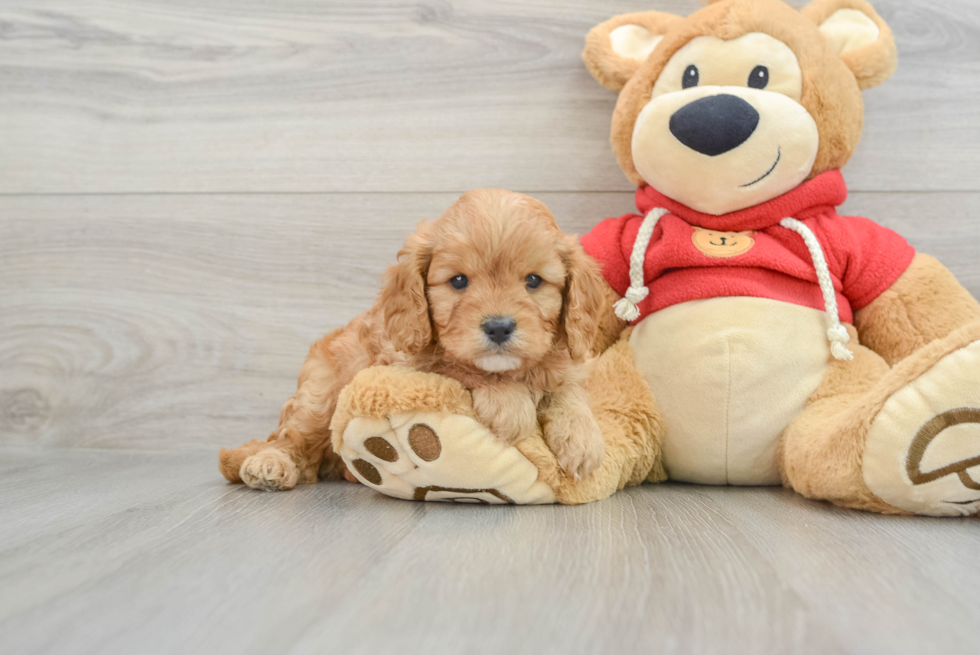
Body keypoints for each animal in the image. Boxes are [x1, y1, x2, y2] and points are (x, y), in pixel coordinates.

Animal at [218, 187, 608, 490]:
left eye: (533, 281)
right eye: (458, 281)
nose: (498, 327)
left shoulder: (569, 359)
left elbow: (568, 387)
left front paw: (583, 439)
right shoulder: (409, 363)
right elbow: (458, 366)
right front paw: (509, 403)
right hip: (321, 394)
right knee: (292, 437)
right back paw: (270, 464)